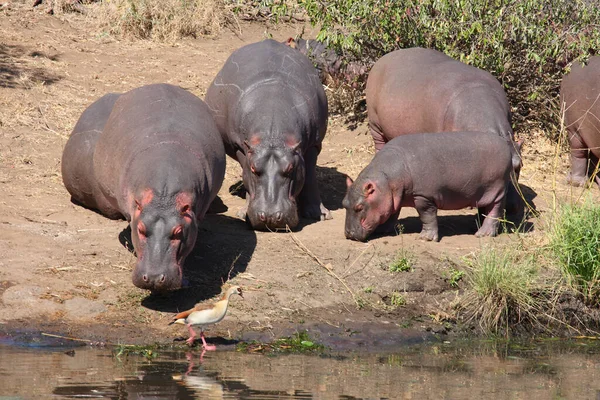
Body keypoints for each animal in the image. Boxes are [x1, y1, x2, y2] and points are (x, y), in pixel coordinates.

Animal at [205, 39, 328, 231]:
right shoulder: (241, 148)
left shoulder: (312, 145)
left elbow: (309, 178)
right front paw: (242, 213)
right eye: (254, 169)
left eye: (290, 169)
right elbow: (247, 177)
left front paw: (320, 214)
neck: (273, 137)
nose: (270, 217)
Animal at [344, 133, 512, 242]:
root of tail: (506, 145)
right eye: (344, 203)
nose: (349, 234)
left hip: (497, 189)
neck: (386, 180)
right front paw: (382, 229)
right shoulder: (392, 198)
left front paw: (426, 238)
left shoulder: (423, 196)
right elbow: (391, 214)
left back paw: (483, 234)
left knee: (495, 210)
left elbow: (426, 215)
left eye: (359, 207)